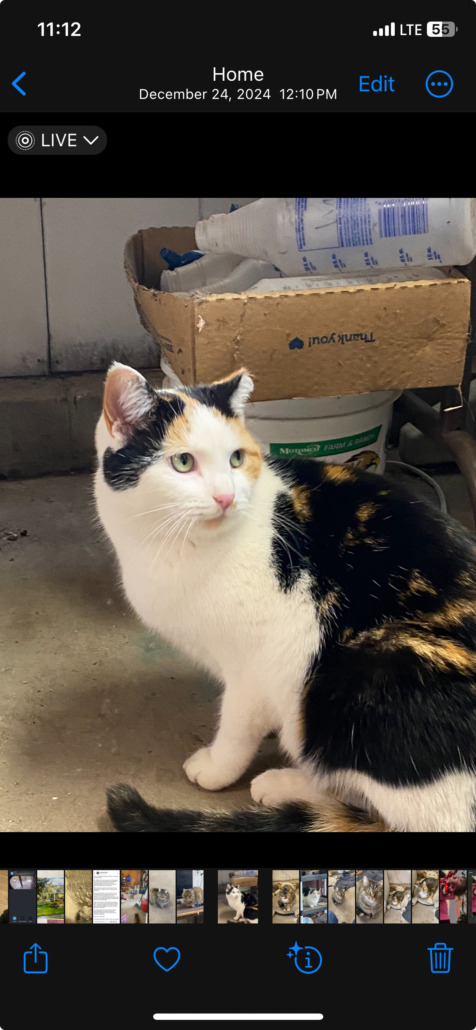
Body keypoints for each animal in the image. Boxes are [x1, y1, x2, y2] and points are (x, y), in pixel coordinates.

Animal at [95, 362, 476, 834]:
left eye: (236, 458)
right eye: (183, 462)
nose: (226, 497)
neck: (170, 546)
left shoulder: (259, 661)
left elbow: (237, 723)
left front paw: (218, 767)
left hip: (365, 667)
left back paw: (281, 784)